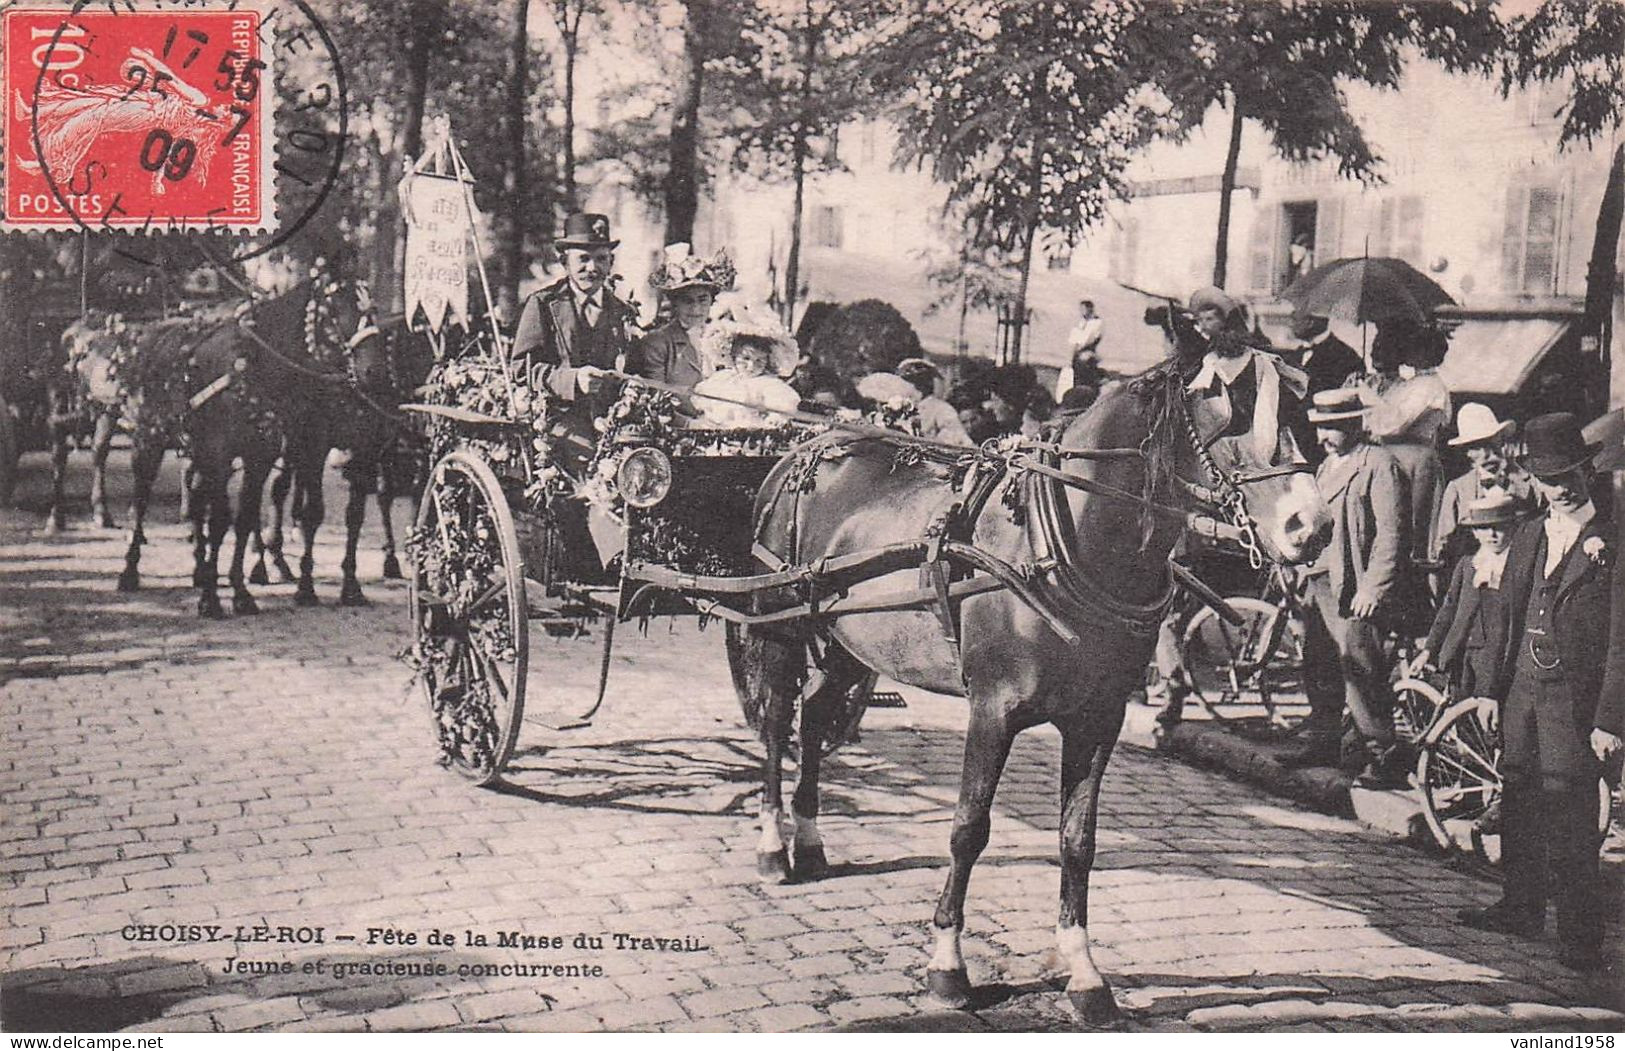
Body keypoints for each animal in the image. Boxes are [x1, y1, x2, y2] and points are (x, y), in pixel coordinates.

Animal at [731, 354, 1326, 1020]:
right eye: (1234, 415)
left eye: (1305, 415)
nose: (1313, 527)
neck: (1065, 547)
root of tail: (806, 447)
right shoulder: (992, 710)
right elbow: (969, 829)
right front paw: (947, 966)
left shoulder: (1098, 720)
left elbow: (1078, 839)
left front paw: (1083, 971)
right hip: (780, 624)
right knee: (777, 723)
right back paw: (773, 847)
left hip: (848, 644)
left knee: (814, 717)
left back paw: (809, 841)